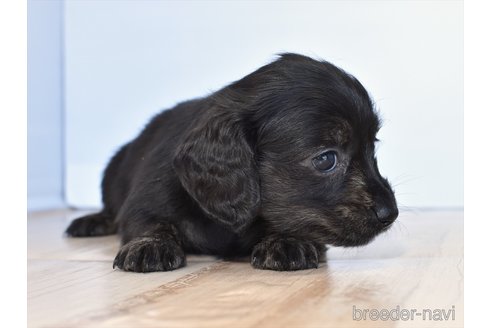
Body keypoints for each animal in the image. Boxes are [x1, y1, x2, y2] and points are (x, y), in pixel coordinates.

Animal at [65, 53, 398, 272]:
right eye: (326, 158)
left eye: (372, 147)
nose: (390, 214)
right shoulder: (145, 199)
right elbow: (147, 222)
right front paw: (151, 244)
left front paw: (288, 239)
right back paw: (91, 221)